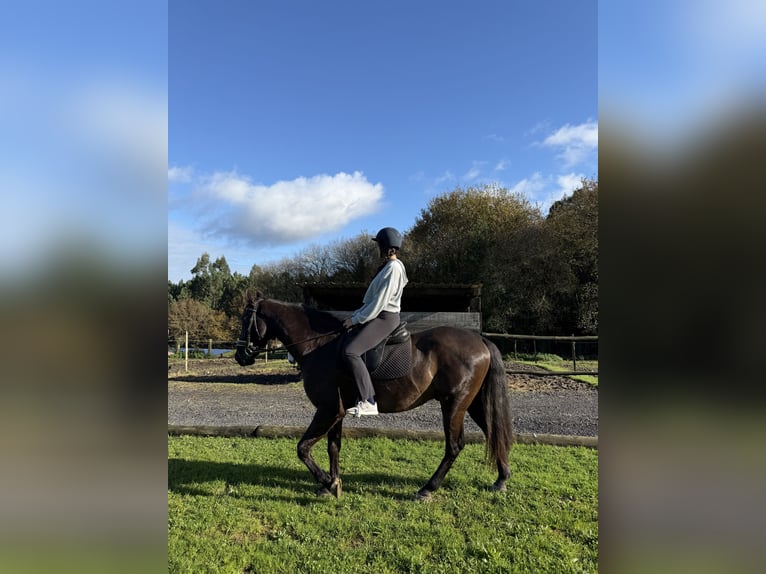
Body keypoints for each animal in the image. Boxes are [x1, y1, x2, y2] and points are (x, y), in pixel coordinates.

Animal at [234, 291, 514, 501]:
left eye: (246, 320)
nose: (240, 356)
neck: (318, 345)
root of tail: (480, 340)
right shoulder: (336, 411)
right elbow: (333, 447)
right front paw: (332, 483)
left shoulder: (327, 409)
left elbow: (302, 448)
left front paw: (327, 482)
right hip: (471, 403)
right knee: (493, 432)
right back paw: (501, 479)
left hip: (454, 404)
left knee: (454, 446)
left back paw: (427, 489)